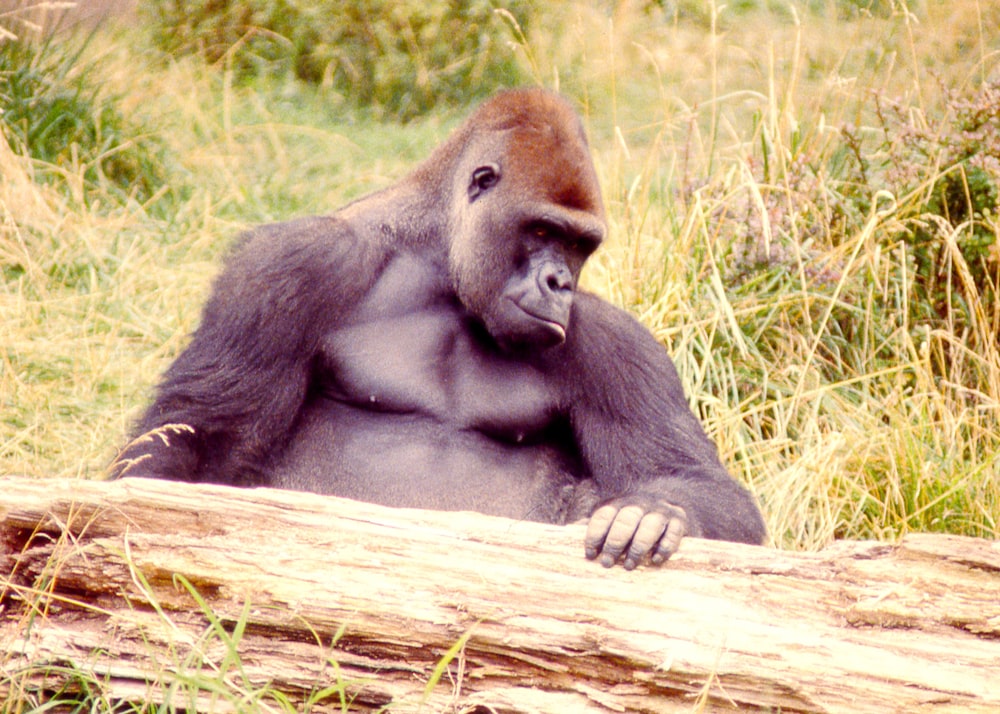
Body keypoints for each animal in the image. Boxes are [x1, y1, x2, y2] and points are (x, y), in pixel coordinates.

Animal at [111, 87, 764, 568]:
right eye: (543, 231)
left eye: (581, 245)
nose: (560, 283)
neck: (439, 262)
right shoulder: (287, 265)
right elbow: (190, 440)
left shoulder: (617, 344)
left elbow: (696, 481)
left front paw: (653, 512)